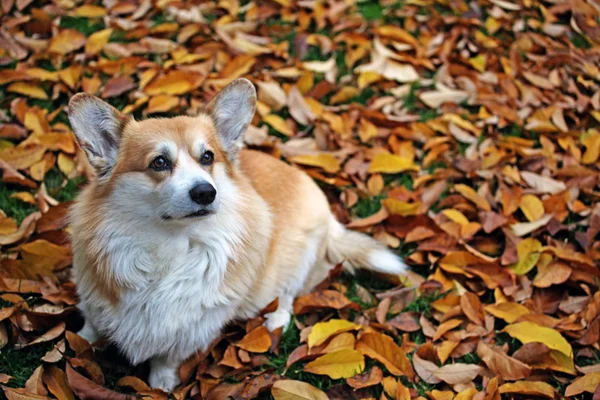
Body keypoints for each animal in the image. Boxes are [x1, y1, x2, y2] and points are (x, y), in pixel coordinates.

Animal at [67, 78, 408, 390]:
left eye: (207, 157)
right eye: (159, 162)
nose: (206, 192)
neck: (168, 245)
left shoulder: (190, 330)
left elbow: (167, 359)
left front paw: (160, 386)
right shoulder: (96, 299)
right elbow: (92, 326)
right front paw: (74, 343)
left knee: (288, 294)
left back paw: (275, 319)